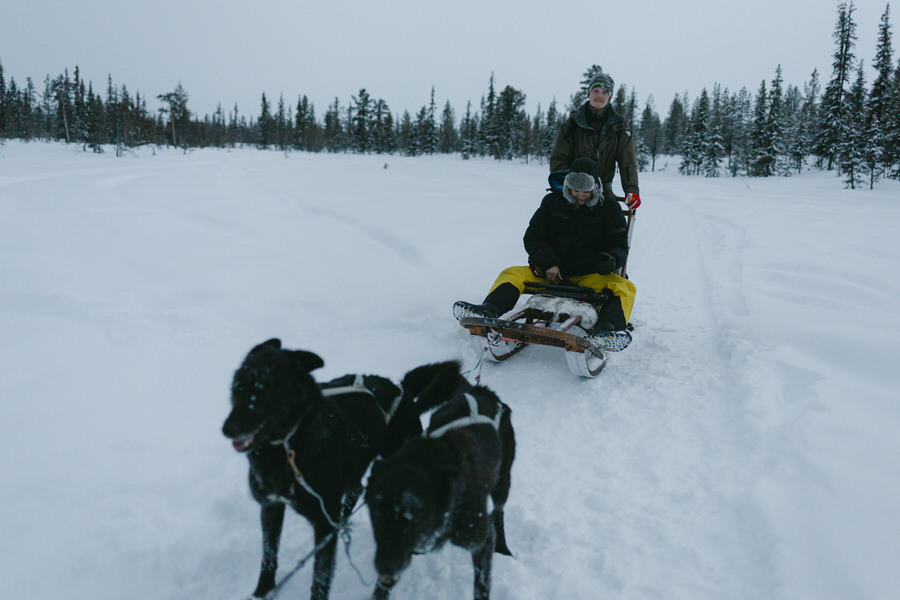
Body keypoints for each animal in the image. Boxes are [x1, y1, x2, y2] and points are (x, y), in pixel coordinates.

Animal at [223, 338, 464, 600]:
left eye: (266, 389)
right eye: (237, 387)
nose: (227, 428)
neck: (289, 445)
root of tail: (401, 388)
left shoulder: (322, 524)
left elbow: (320, 578)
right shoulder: (271, 505)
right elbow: (269, 554)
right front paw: (263, 591)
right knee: (356, 490)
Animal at [366, 370, 516, 600]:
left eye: (416, 516)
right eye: (377, 513)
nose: (385, 567)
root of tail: (481, 391)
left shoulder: (481, 541)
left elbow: (481, 585)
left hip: (502, 482)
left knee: (498, 512)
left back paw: (503, 546)